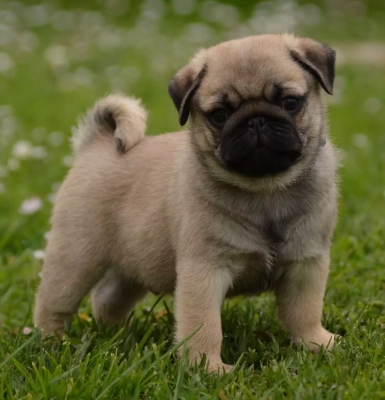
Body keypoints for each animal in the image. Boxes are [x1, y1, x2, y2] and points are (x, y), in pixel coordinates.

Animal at [34, 33, 338, 372]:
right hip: (75, 260)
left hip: (132, 265)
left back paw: (115, 335)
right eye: (219, 115)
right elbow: (204, 325)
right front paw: (208, 368)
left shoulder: (305, 263)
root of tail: (97, 144)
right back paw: (51, 344)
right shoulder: (204, 271)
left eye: (290, 102)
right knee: (53, 304)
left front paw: (316, 344)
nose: (256, 121)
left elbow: (305, 311)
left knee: (107, 298)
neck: (266, 190)